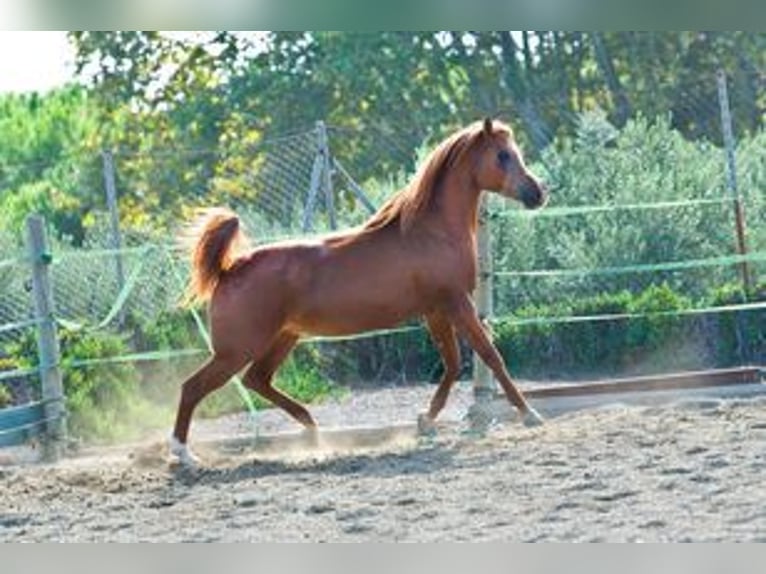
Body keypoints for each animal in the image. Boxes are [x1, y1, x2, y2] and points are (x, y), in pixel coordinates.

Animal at [171, 119, 548, 466]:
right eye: (502, 155)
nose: (538, 193)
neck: (432, 233)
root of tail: (229, 268)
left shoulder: (436, 310)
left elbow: (452, 364)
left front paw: (425, 420)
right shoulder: (456, 303)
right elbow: (490, 355)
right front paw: (529, 414)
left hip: (283, 338)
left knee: (256, 380)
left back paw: (312, 430)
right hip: (237, 350)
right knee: (194, 387)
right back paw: (183, 454)